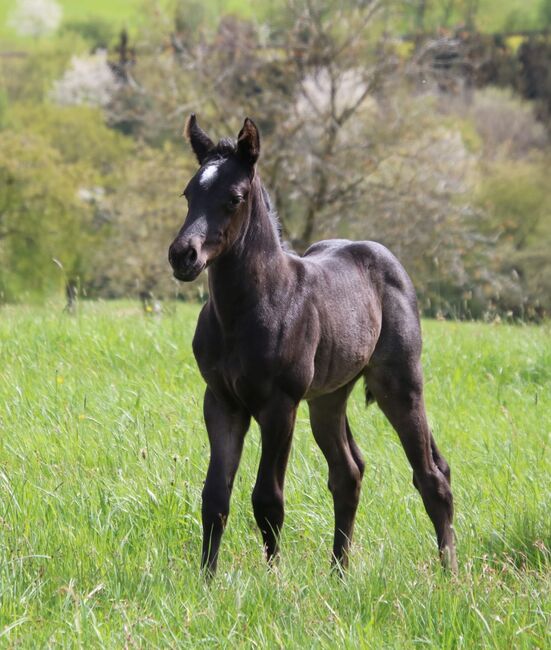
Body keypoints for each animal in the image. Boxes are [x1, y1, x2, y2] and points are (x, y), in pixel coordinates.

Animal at [167, 114, 458, 576]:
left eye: (234, 197)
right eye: (189, 193)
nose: (183, 255)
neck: (249, 308)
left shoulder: (279, 405)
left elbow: (268, 499)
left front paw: (273, 580)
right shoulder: (221, 402)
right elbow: (214, 497)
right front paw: (206, 580)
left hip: (401, 385)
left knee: (432, 476)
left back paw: (449, 573)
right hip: (328, 398)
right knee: (348, 473)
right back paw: (339, 572)